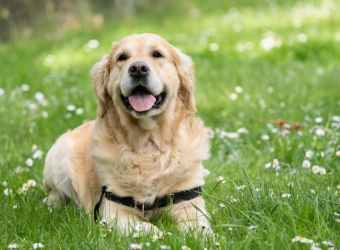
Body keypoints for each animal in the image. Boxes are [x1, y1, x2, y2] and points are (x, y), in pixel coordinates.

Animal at [43, 33, 210, 234]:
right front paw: (166, 235)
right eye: (122, 57)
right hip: (58, 157)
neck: (148, 142)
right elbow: (151, 229)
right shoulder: (114, 213)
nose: (138, 68)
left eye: (157, 54)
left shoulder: (189, 203)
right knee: (55, 193)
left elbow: (201, 230)